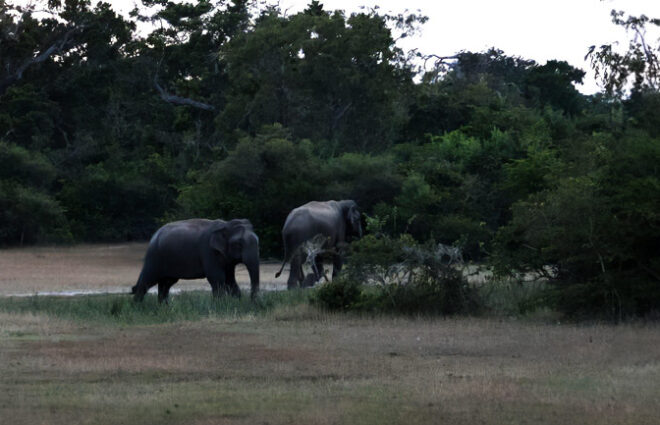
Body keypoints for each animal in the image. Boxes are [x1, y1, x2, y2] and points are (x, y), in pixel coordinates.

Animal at [132, 219, 260, 302]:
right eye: (239, 244)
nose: (252, 302)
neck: (226, 225)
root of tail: (153, 237)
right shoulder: (208, 252)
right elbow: (217, 278)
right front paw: (220, 306)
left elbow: (230, 279)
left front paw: (237, 303)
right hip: (155, 256)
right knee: (148, 280)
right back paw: (138, 308)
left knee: (166, 283)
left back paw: (164, 308)